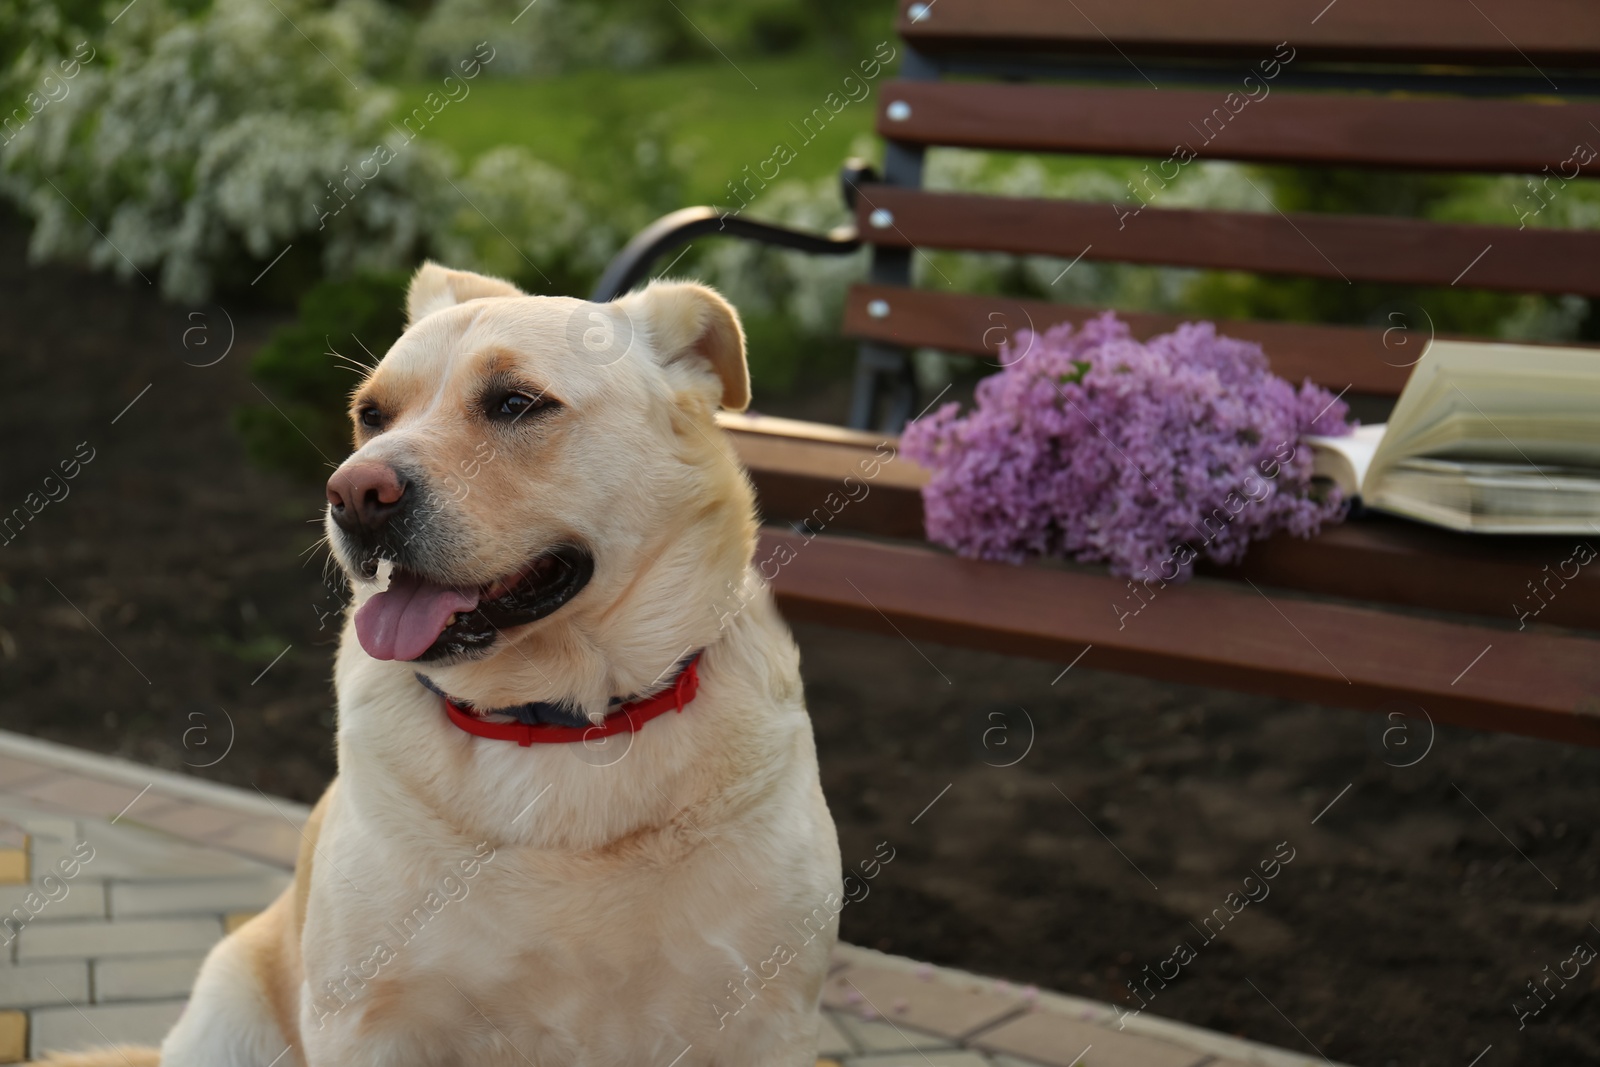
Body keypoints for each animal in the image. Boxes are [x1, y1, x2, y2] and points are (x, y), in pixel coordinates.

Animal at [34, 260, 838, 1067]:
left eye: (516, 403)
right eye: (372, 415)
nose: (354, 494)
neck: (559, 720)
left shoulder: (768, 1022)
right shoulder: (366, 1021)